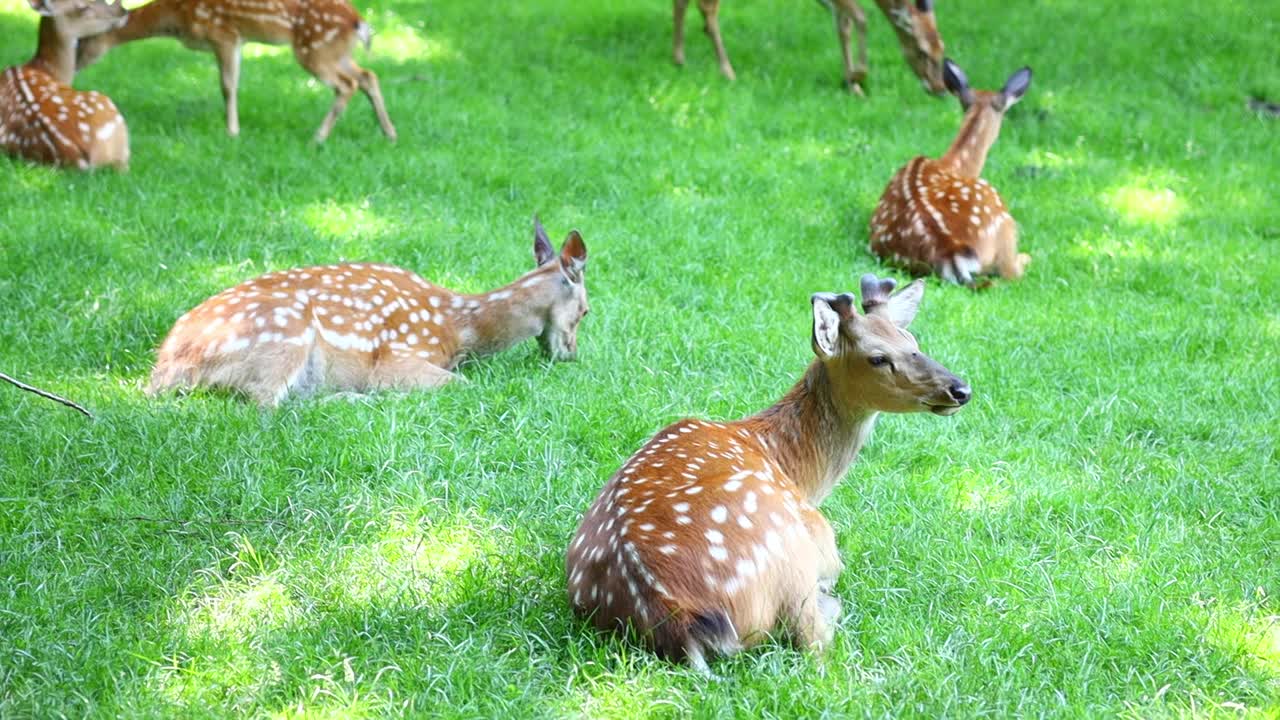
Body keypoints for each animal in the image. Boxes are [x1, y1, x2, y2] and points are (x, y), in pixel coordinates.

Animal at [74, 0, 394, 141]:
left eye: (85, 40)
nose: (73, 65)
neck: (177, 16)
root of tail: (358, 22)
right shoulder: (236, 40)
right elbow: (230, 84)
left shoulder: (224, 34)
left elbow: (228, 86)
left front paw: (232, 132)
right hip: (334, 51)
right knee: (368, 76)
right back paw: (389, 133)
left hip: (313, 48)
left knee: (347, 84)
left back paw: (319, 137)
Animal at [149, 215, 588, 407]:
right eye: (586, 311)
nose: (571, 354)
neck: (460, 328)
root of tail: (165, 369)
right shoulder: (399, 355)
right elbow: (462, 385)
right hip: (286, 330)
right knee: (266, 406)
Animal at [675, 0, 947, 94]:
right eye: (922, 51)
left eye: (942, 48)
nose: (940, 88)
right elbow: (861, 18)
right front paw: (857, 77)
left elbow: (844, 24)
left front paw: (852, 84)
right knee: (707, 8)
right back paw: (726, 69)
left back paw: (679, 57)